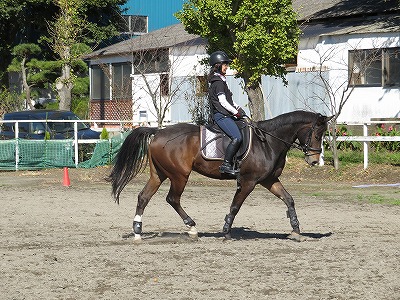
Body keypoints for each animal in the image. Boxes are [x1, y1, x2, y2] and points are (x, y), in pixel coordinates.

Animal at [108, 110, 332, 241]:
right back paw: (191, 228)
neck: (268, 142)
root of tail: (159, 132)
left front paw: (296, 230)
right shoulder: (249, 182)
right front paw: (226, 231)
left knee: (143, 197)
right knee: (172, 199)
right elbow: (235, 206)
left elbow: (289, 199)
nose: (314, 160)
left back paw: (138, 231)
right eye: (317, 134)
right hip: (179, 175)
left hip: (159, 174)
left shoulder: (269, 180)